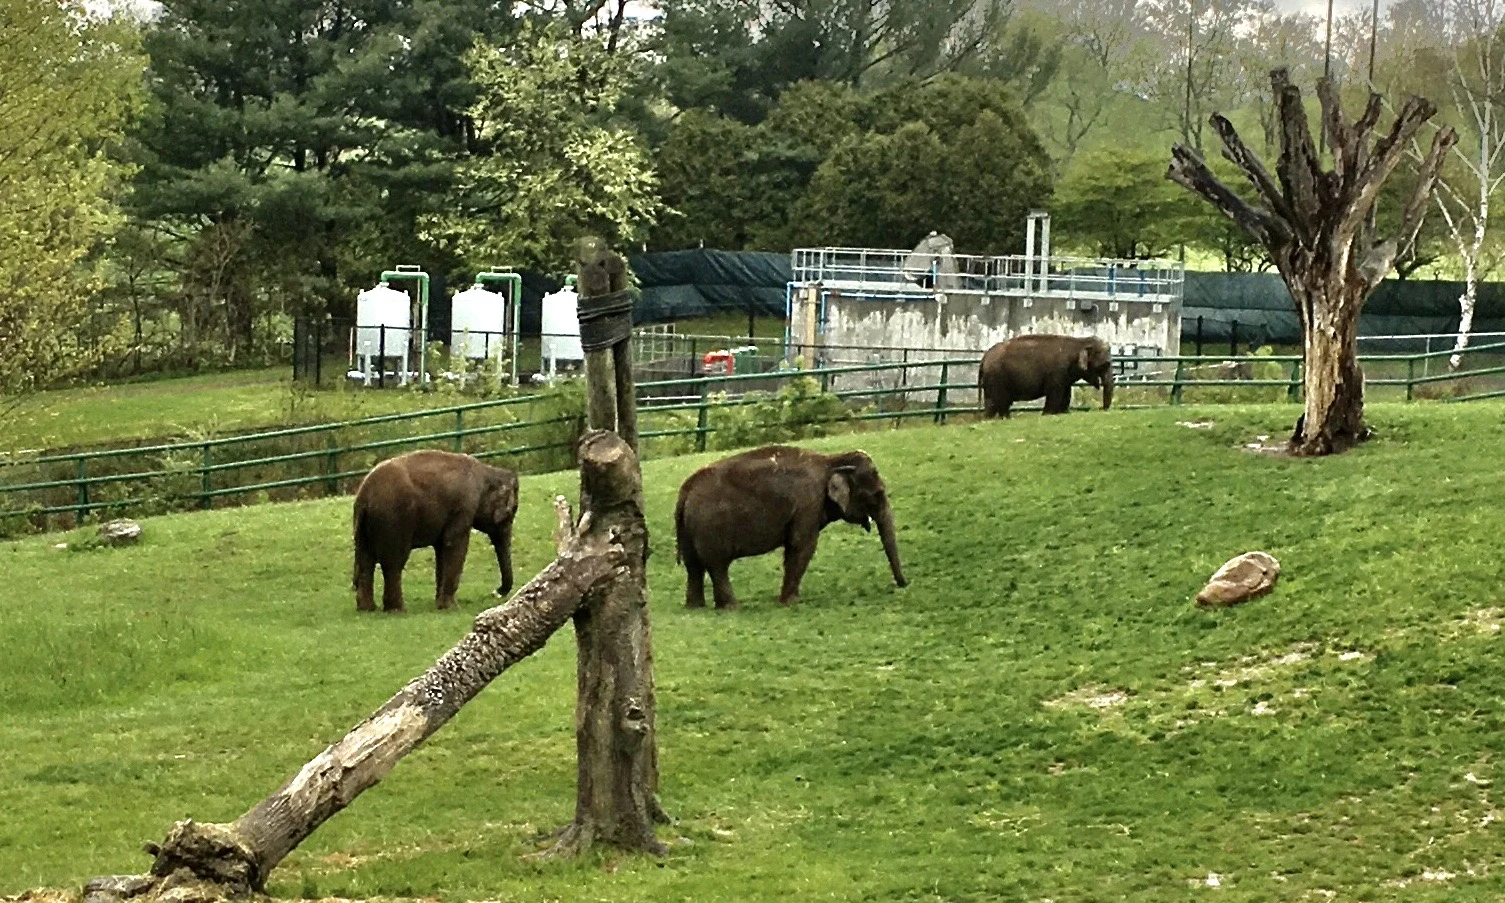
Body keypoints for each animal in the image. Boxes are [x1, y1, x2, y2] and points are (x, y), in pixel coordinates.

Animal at [352, 449, 518, 613]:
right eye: (509, 514)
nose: (496, 592)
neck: (486, 471)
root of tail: (363, 496)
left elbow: (441, 549)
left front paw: (440, 605)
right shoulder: (464, 506)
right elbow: (453, 543)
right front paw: (451, 607)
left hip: (365, 526)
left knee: (366, 560)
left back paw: (367, 609)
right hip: (393, 519)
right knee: (393, 563)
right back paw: (398, 610)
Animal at [673, 445, 907, 609]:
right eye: (878, 494)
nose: (902, 585)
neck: (831, 460)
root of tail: (686, 489)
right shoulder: (809, 504)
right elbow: (802, 545)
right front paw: (792, 602)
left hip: (688, 529)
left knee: (693, 566)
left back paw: (696, 607)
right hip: (710, 528)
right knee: (717, 565)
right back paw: (732, 607)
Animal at [979, 333, 1114, 417]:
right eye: (1105, 365)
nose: (1101, 409)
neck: (1080, 341)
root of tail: (984, 357)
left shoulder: (1065, 376)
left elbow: (1066, 394)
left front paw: (1063, 413)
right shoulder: (1057, 372)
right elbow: (1055, 393)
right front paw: (1047, 414)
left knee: (994, 403)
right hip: (996, 378)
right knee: (999, 402)